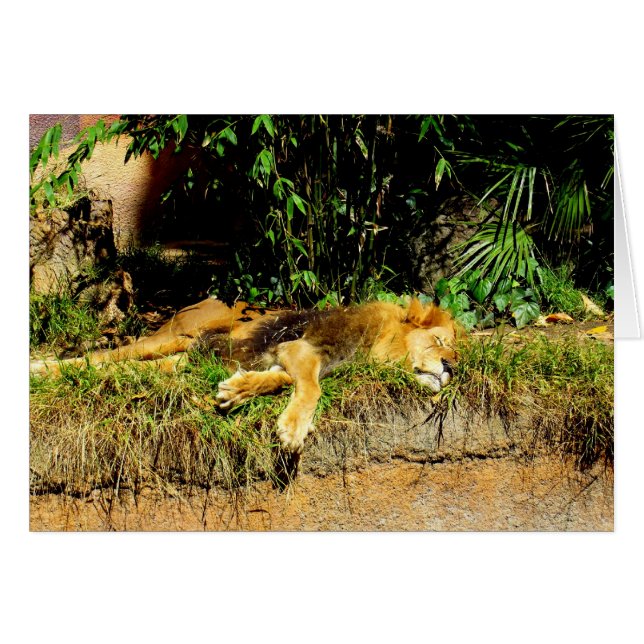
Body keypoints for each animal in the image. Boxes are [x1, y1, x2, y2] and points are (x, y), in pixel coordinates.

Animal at [30, 297, 457, 453]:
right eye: (439, 341)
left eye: (456, 352)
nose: (452, 368)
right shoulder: (303, 347)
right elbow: (312, 386)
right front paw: (293, 430)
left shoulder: (281, 355)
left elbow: (282, 380)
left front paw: (235, 392)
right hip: (174, 338)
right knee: (101, 357)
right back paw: (40, 368)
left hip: (189, 355)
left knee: (123, 367)